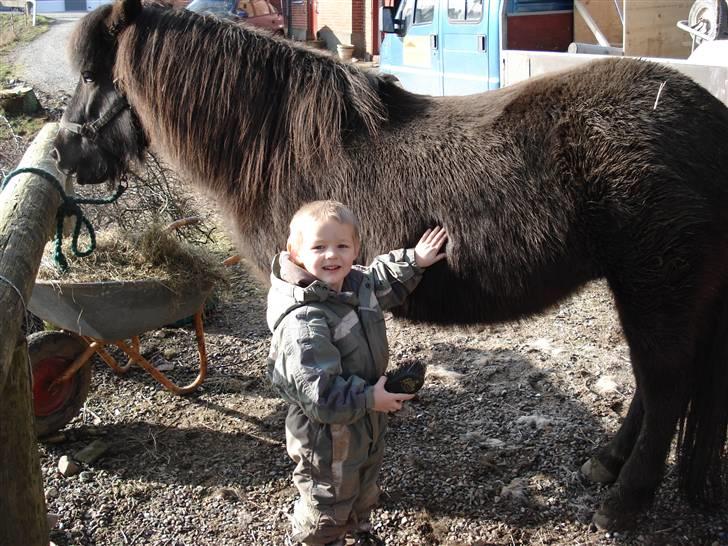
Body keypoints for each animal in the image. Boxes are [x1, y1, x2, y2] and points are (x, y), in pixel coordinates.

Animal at [51, 0, 728, 528]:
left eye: (90, 74)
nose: (63, 154)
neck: (274, 143)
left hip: (655, 287)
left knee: (665, 385)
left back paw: (624, 501)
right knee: (657, 384)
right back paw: (605, 465)